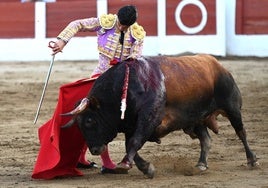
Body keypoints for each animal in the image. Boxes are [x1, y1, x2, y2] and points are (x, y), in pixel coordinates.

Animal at [62, 54, 258, 178]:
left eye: (89, 120)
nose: (95, 150)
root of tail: (218, 65)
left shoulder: (149, 118)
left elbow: (133, 142)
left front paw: (126, 165)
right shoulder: (132, 125)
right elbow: (130, 144)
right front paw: (145, 168)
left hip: (232, 108)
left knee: (241, 133)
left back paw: (252, 160)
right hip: (196, 118)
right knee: (206, 139)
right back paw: (201, 164)